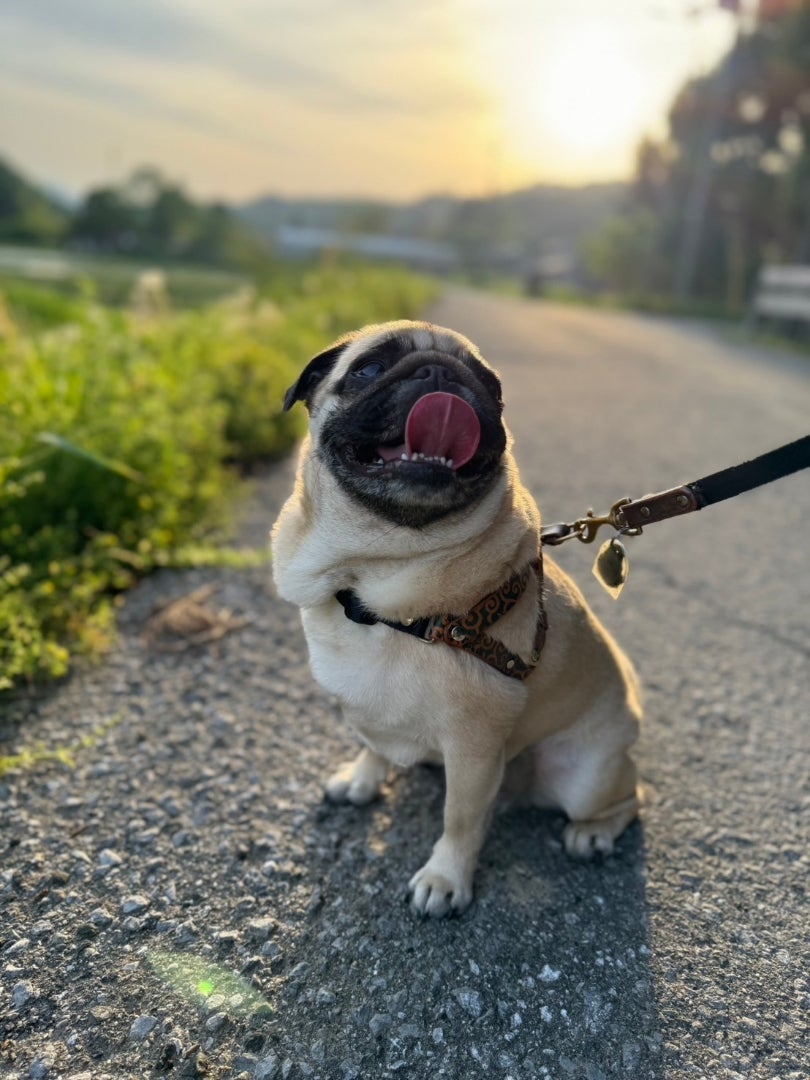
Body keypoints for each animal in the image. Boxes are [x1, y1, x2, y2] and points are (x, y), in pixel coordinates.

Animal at [271, 319, 639, 920]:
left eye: (491, 389)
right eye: (369, 368)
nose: (439, 373)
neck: (375, 577)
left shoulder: (474, 746)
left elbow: (461, 820)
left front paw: (445, 880)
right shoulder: (366, 703)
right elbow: (372, 741)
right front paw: (362, 779)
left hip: (588, 776)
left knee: (631, 797)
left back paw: (593, 834)